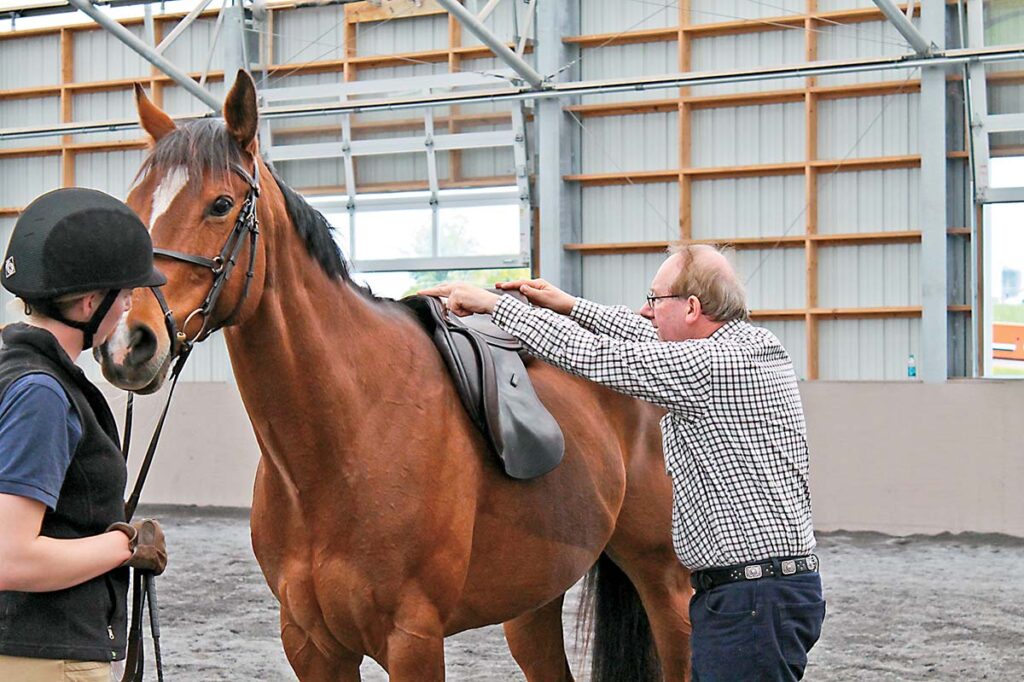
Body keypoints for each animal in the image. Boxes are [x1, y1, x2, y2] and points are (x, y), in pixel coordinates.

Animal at [97, 71, 688, 675]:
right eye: (134, 206)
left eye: (220, 205)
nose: (126, 342)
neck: (347, 438)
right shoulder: (310, 644)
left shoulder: (413, 640)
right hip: (532, 601)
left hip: (668, 585)